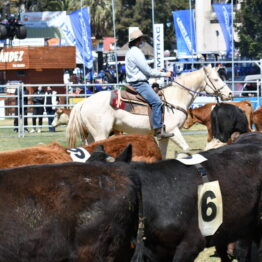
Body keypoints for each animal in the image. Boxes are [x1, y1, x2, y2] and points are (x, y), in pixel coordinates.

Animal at [67, 65, 231, 158]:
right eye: (216, 79)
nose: (229, 94)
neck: (175, 98)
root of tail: (83, 102)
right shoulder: (173, 130)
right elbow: (186, 149)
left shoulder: (165, 136)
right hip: (101, 133)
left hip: (91, 135)